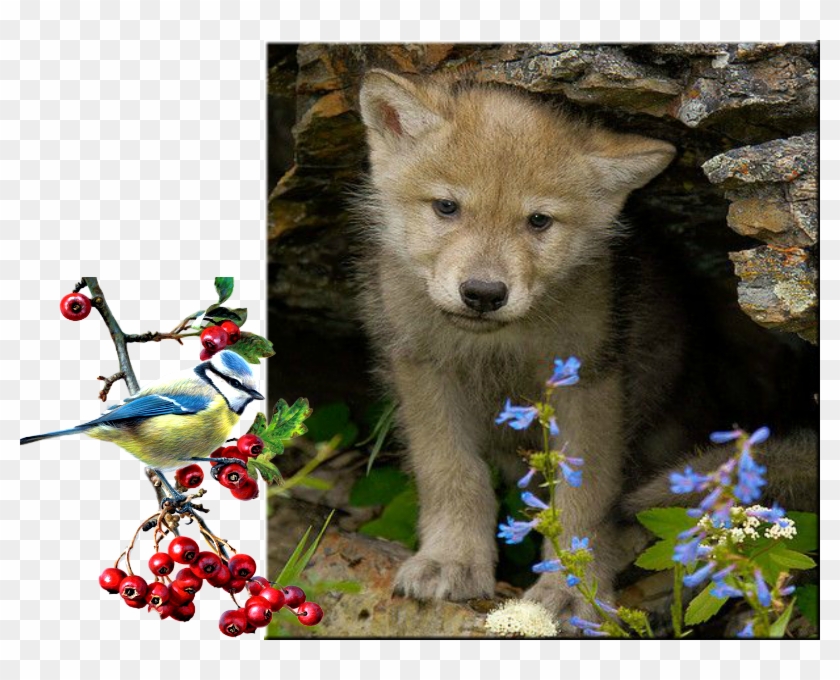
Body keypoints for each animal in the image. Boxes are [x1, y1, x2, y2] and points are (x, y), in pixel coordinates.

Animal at [354, 68, 817, 618]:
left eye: (538, 221)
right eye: (447, 207)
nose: (484, 294)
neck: (498, 347)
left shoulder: (589, 382)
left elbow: (585, 497)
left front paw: (574, 590)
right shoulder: (423, 368)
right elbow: (451, 474)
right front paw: (451, 561)